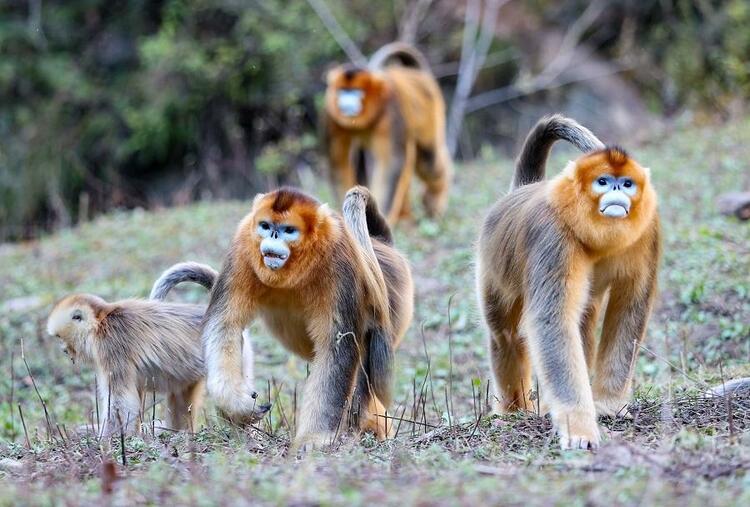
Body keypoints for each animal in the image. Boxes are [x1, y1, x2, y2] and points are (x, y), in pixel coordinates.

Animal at [200, 186, 414, 448]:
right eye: (265, 225)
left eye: (288, 230)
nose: (273, 236)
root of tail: (382, 245)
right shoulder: (242, 247)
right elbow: (224, 324)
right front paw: (238, 404)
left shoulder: (340, 262)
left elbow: (337, 348)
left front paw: (313, 439)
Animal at [322, 42, 452, 225]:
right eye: (343, 91)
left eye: (354, 92)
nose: (345, 102)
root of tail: (415, 73)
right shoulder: (331, 115)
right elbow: (338, 163)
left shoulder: (390, 112)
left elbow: (392, 163)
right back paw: (405, 215)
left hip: (431, 111)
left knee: (428, 161)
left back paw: (433, 203)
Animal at [478, 114, 660, 448]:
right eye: (603, 181)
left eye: (627, 184)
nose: (617, 189)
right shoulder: (554, 235)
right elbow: (551, 321)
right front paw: (579, 427)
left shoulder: (648, 228)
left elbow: (630, 307)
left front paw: (609, 405)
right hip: (493, 265)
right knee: (505, 335)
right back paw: (514, 412)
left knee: (583, 321)